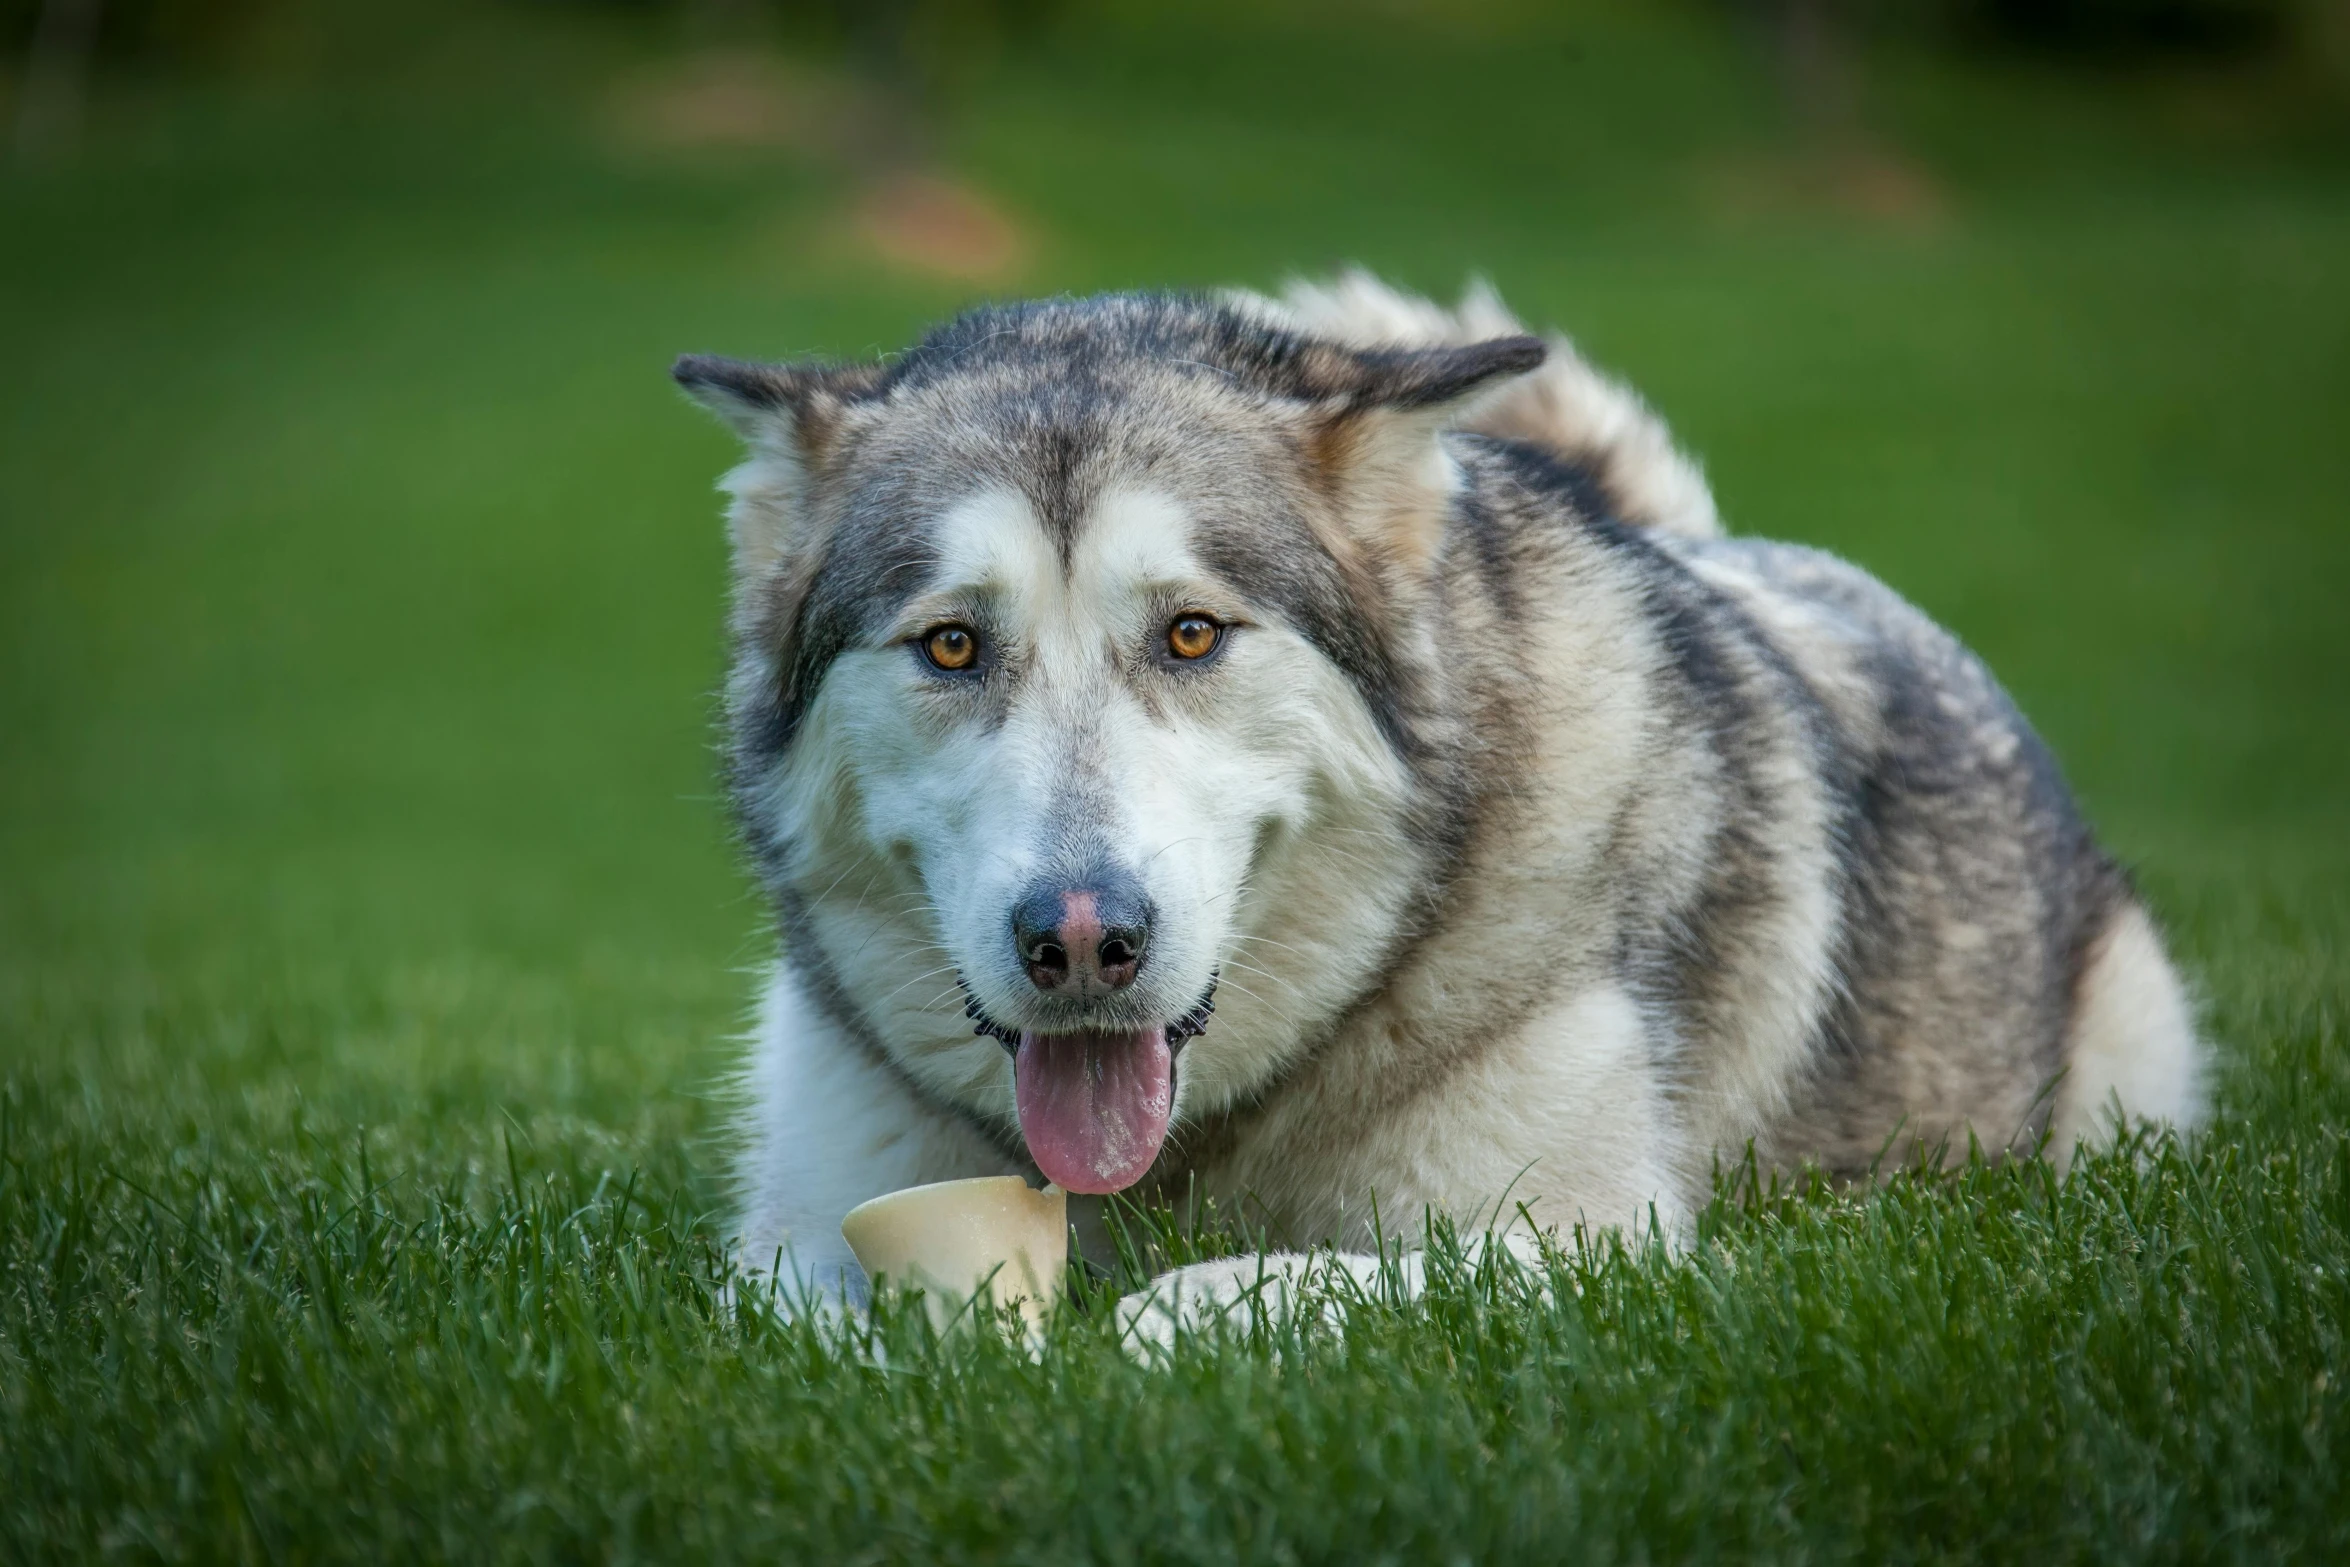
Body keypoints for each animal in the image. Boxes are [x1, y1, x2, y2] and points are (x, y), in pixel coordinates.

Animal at [676, 270, 2199, 1334]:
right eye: (950, 645)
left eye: (1189, 633)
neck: (1187, 1156)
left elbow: (1203, 1296)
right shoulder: (791, 1236)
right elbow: (800, 1310)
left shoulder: (1603, 1246)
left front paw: (1130, 1322)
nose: (1083, 940)